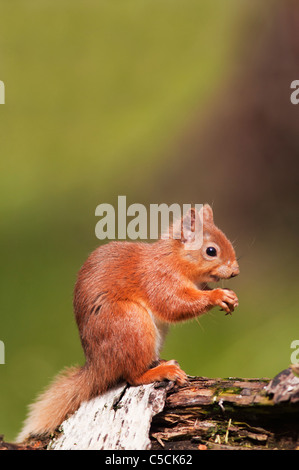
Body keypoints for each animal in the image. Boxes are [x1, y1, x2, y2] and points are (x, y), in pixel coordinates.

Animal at [17, 204, 240, 442]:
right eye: (211, 251)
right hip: (132, 324)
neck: (173, 258)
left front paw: (230, 297)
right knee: (133, 376)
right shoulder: (159, 279)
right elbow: (174, 304)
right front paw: (217, 295)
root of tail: (98, 364)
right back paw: (161, 371)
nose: (235, 271)